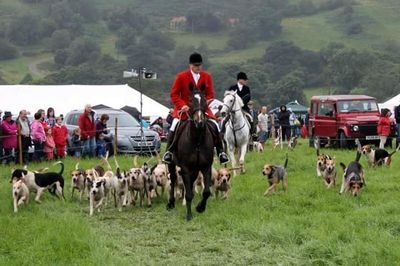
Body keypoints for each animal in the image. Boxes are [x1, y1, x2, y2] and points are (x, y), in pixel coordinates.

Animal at [166, 88, 216, 220]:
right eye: (190, 101)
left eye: (204, 100)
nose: (199, 122)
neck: (197, 139)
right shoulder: (185, 168)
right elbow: (188, 194)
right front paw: (189, 215)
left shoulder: (206, 167)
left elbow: (206, 192)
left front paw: (200, 208)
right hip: (172, 164)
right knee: (173, 179)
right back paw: (171, 203)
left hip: (195, 169)